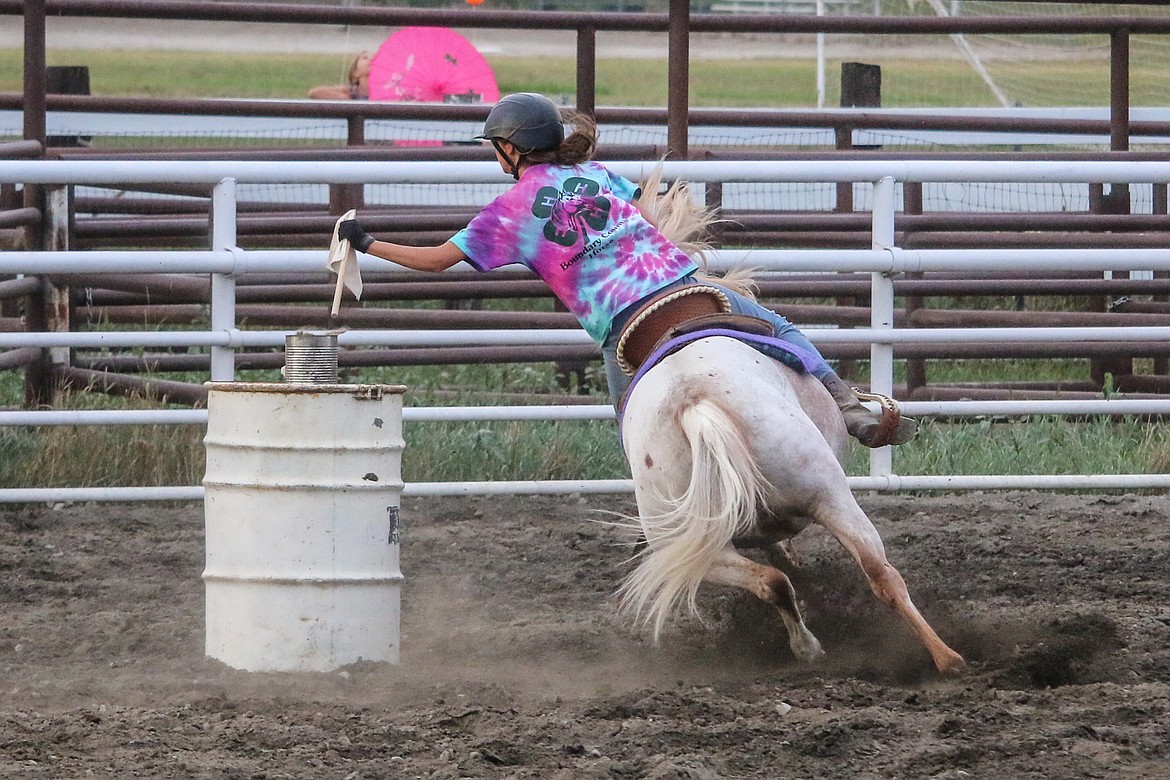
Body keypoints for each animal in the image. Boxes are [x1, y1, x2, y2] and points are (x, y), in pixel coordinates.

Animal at [622, 170, 968, 678]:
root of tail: (694, 403)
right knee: (882, 575)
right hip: (828, 494)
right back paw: (947, 658)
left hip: (693, 540)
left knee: (773, 581)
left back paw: (810, 646)